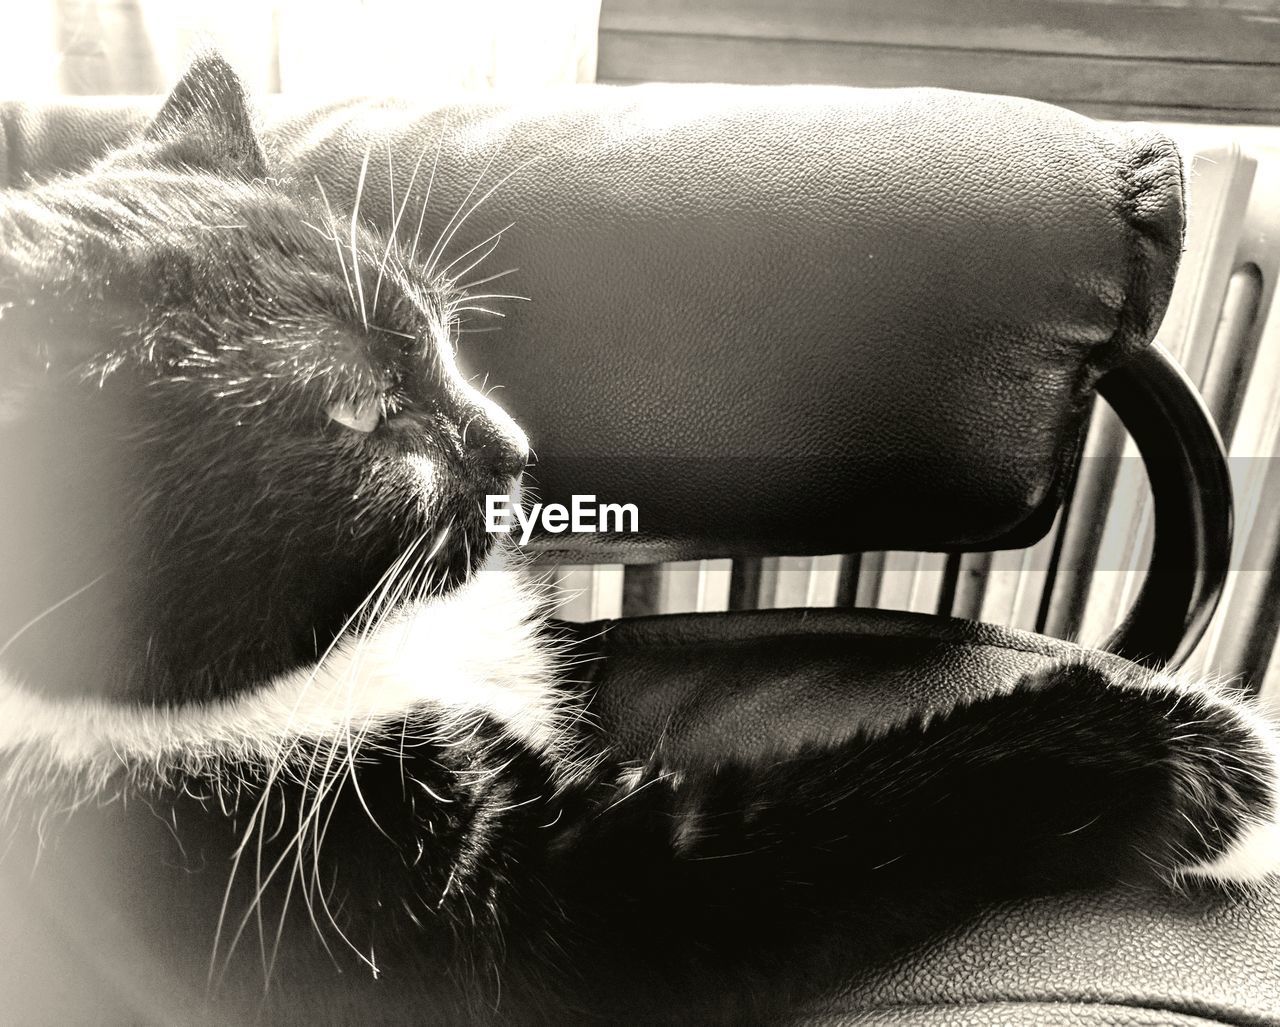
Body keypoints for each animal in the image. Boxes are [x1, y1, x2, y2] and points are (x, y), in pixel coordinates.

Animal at [0, 56, 1274, 1024]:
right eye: (357, 415)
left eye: (439, 330)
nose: (516, 448)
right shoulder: (406, 918)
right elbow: (800, 839)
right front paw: (1177, 753)